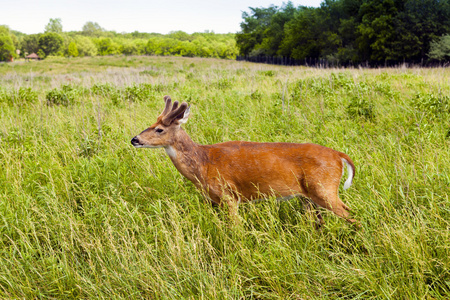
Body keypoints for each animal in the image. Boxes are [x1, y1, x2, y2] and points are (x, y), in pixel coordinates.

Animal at [131, 96, 358, 225]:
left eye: (160, 129)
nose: (135, 139)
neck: (203, 163)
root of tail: (339, 156)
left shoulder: (229, 195)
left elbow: (236, 229)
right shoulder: (214, 201)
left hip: (324, 188)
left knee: (351, 214)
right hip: (308, 198)